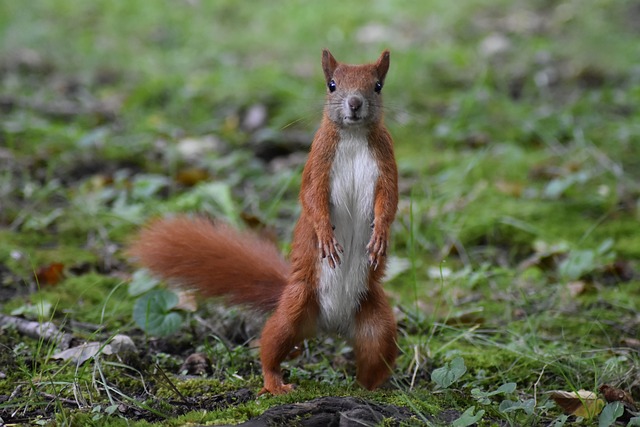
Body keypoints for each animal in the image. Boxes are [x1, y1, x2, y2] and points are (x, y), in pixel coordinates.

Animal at [127, 48, 398, 396]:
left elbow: (389, 201)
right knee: (270, 344)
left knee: (375, 354)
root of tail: (330, 325)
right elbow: (311, 198)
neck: (352, 137)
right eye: (332, 85)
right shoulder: (317, 162)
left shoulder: (386, 161)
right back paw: (275, 383)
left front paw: (380, 236)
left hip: (376, 320)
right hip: (295, 306)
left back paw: (372, 388)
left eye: (377, 86)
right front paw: (325, 235)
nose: (354, 103)